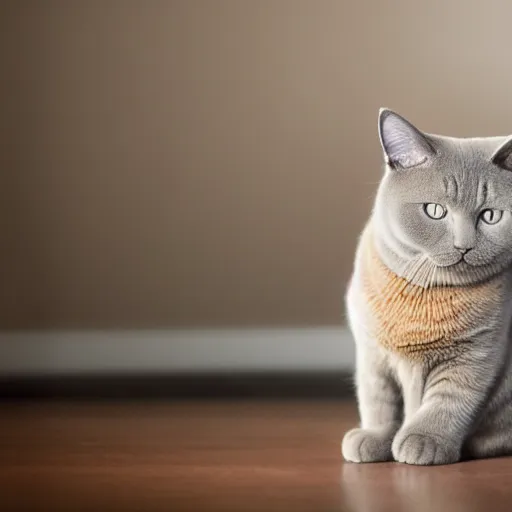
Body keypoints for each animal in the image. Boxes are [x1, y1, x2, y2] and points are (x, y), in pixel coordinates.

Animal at [340, 109, 512, 464]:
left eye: (490, 216)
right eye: (435, 211)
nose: (464, 246)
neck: (425, 292)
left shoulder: (476, 355)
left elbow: (447, 403)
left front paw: (424, 441)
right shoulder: (372, 354)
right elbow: (380, 402)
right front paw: (374, 438)